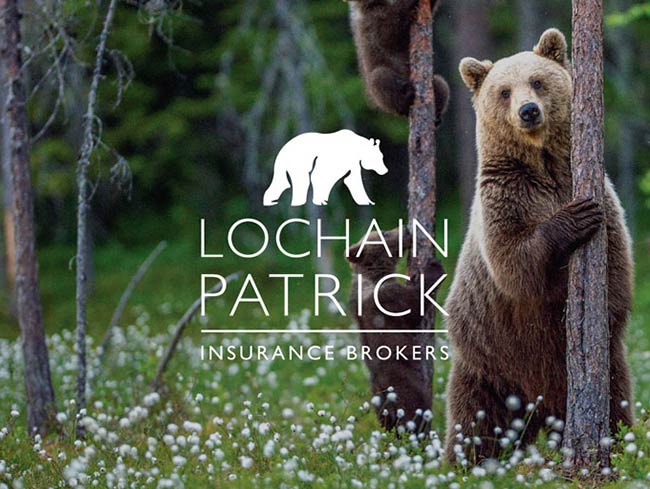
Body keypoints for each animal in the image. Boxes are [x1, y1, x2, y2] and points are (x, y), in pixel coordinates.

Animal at [347, 228, 445, 432]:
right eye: (383, 232)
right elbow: (414, 305)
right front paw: (434, 267)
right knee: (415, 411)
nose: (406, 229)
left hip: (377, 400)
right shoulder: (388, 299)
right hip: (405, 387)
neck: (374, 275)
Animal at [444, 28, 634, 463]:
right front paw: (574, 218)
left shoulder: (599, 194)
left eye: (537, 81)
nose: (528, 111)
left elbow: (616, 268)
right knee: (474, 422)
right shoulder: (505, 198)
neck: (542, 165)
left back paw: (619, 445)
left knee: (617, 402)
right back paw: (462, 464)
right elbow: (514, 264)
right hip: (488, 361)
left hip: (606, 368)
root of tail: (540, 407)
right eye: (503, 91)